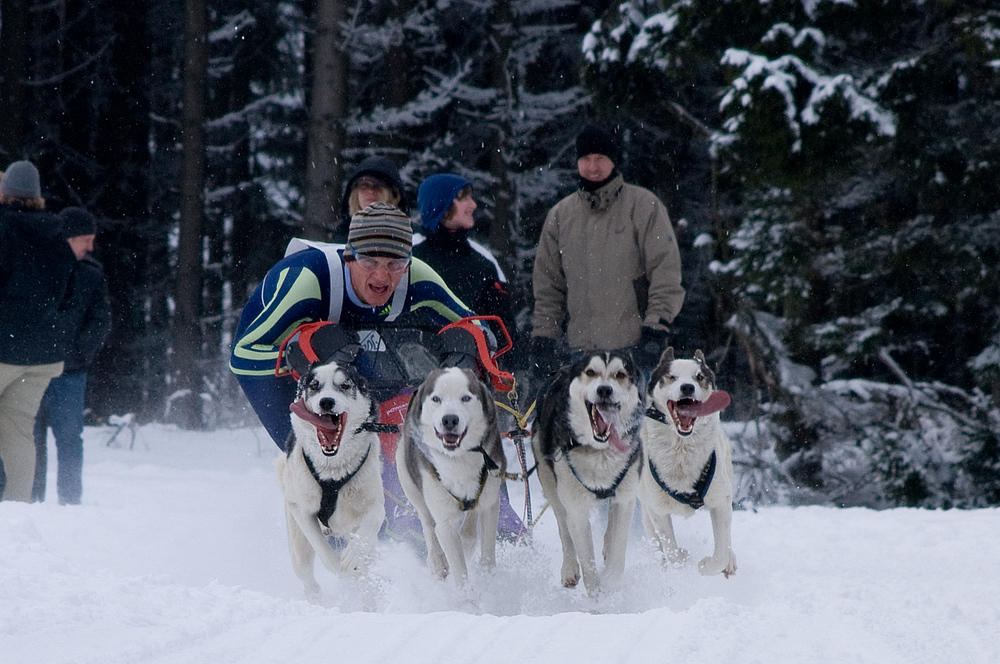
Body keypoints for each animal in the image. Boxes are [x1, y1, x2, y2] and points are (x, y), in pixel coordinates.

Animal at [278, 360, 386, 604]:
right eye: (314, 386)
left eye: (344, 385)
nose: (326, 401)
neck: (333, 472)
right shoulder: (302, 510)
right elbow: (324, 551)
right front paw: (340, 567)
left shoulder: (375, 504)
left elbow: (371, 523)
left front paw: (351, 558)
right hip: (298, 546)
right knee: (308, 578)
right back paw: (317, 600)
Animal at [396, 366, 508, 588]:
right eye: (436, 399)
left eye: (465, 398)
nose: (449, 419)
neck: (459, 459)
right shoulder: (445, 521)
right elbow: (459, 570)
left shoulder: (490, 502)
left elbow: (486, 550)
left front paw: (489, 579)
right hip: (409, 482)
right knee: (428, 523)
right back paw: (438, 562)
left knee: (469, 528)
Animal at [536, 350, 644, 592]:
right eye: (591, 372)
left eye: (620, 374)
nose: (604, 389)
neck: (600, 452)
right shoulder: (576, 508)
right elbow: (587, 562)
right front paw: (597, 595)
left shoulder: (626, 497)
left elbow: (618, 549)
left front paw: (611, 582)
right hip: (550, 484)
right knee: (563, 527)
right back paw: (569, 569)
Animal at [640, 348, 736, 576]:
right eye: (671, 376)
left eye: (698, 377)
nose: (687, 387)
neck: (681, 448)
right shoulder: (657, 510)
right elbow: (671, 551)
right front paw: (680, 562)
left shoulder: (721, 501)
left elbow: (720, 552)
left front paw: (706, 566)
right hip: (645, 510)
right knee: (657, 544)